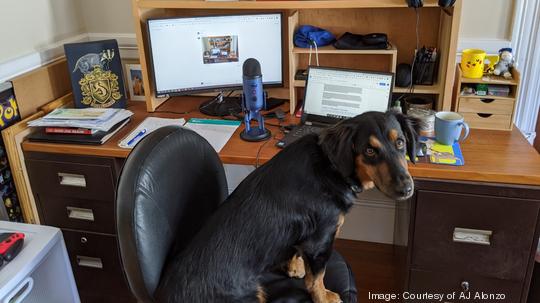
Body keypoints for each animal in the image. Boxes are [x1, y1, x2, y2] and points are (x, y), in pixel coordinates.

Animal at [156, 111, 418, 303]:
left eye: (401, 143)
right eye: (370, 150)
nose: (407, 189)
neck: (331, 167)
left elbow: (293, 250)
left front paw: (293, 267)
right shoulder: (320, 241)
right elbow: (317, 278)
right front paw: (323, 297)